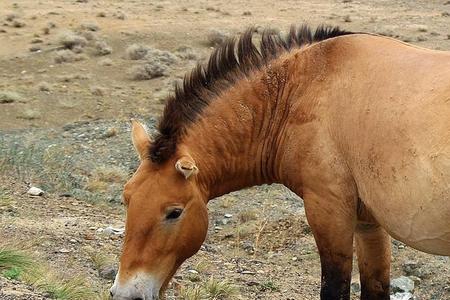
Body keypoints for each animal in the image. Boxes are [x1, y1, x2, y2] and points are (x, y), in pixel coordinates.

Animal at [110, 24, 450, 300]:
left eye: (174, 212)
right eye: (127, 199)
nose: (126, 293)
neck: (300, 90)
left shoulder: (329, 213)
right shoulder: (368, 224)